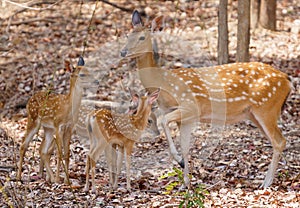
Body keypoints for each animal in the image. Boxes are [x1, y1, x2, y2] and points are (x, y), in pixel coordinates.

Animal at [120, 10, 292, 188]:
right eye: (127, 35)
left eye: (142, 37)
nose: (123, 52)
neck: (165, 84)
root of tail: (287, 80)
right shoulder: (184, 118)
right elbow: (185, 147)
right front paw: (185, 183)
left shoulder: (191, 107)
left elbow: (164, 122)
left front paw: (180, 164)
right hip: (254, 114)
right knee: (277, 141)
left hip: (267, 108)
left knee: (280, 141)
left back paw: (266, 183)